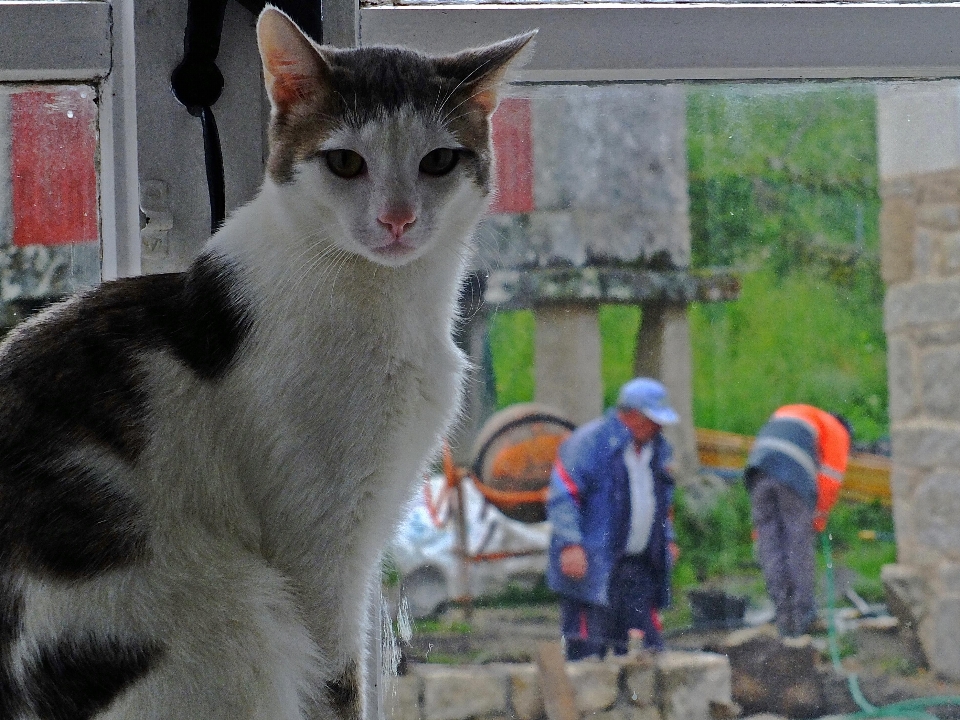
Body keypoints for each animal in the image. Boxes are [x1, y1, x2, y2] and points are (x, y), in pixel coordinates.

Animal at [0, 7, 532, 720]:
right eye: (345, 162)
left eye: (440, 160)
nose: (397, 219)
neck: (390, 300)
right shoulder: (319, 551)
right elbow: (338, 685)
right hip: (232, 622)